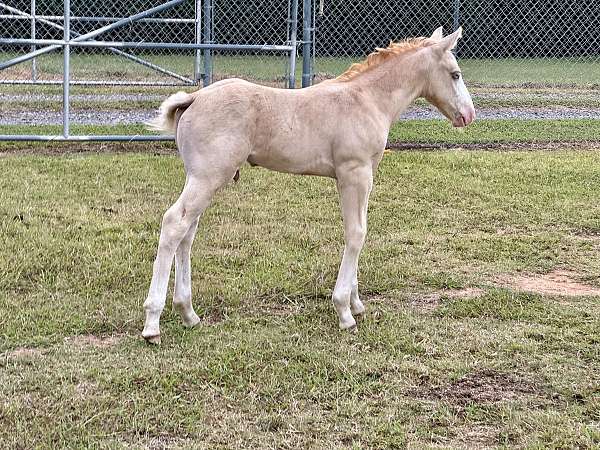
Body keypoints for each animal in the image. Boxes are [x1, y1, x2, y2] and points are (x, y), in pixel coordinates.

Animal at [143, 26, 476, 342]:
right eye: (455, 74)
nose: (469, 115)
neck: (367, 100)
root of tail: (194, 98)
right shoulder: (354, 174)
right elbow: (356, 234)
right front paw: (344, 311)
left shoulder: (362, 177)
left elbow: (358, 230)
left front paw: (356, 303)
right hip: (207, 178)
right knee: (174, 224)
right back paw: (152, 324)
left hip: (202, 180)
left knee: (187, 233)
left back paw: (188, 313)